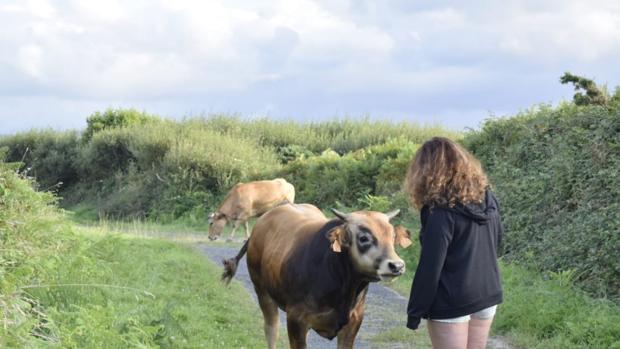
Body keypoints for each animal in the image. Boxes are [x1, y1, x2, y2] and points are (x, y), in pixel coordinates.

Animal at [222, 203, 412, 346]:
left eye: (392, 236)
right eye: (364, 237)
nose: (397, 265)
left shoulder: (354, 323)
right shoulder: (296, 320)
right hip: (262, 292)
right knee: (271, 329)